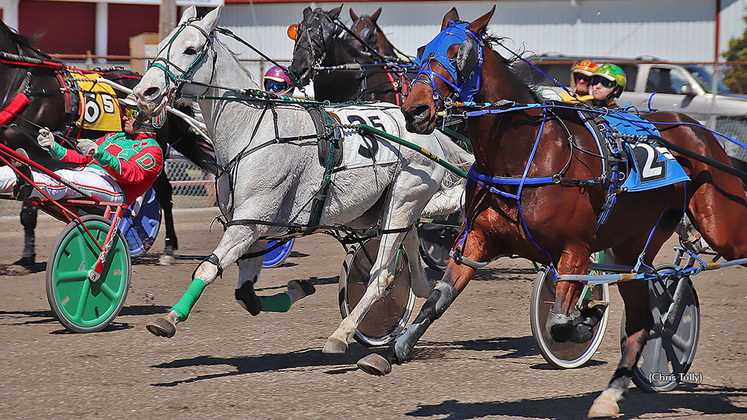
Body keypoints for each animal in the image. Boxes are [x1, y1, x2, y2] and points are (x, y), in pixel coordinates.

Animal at [0, 18, 216, 268]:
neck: (25, 83)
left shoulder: (32, 151)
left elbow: (28, 208)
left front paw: (27, 257)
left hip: (160, 149)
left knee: (162, 192)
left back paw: (169, 247)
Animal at [133, 7, 474, 354]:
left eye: (190, 49)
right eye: (161, 45)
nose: (144, 93)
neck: (255, 129)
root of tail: (427, 131)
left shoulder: (247, 222)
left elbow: (207, 267)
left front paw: (169, 318)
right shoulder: (256, 227)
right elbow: (247, 296)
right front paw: (298, 288)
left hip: (402, 203)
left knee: (381, 277)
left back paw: (342, 334)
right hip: (395, 208)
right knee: (412, 256)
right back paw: (422, 288)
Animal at [356, 5, 747, 416]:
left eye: (457, 53)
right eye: (421, 50)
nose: (415, 110)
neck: (525, 153)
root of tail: (697, 129)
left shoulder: (575, 250)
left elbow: (560, 320)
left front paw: (586, 319)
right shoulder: (477, 239)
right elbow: (438, 297)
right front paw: (391, 350)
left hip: (722, 225)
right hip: (634, 244)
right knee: (642, 322)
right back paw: (610, 395)